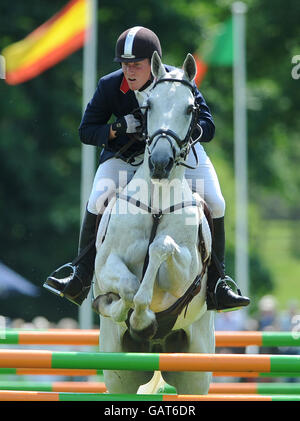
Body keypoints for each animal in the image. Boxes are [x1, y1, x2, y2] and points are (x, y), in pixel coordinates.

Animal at [92, 51, 214, 394]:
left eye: (190, 108)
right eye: (148, 107)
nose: (160, 163)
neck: (158, 197)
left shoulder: (184, 276)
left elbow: (161, 246)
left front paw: (143, 319)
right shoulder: (107, 265)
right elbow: (129, 288)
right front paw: (130, 314)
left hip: (196, 369)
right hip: (118, 373)